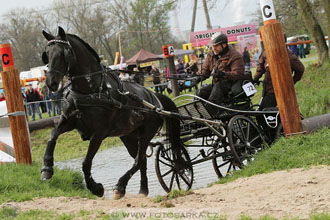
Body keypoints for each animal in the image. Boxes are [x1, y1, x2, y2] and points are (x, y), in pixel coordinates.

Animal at [40, 27, 183, 199]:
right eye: (47, 54)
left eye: (62, 53)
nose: (51, 83)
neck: (91, 90)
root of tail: (155, 98)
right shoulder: (68, 120)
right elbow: (52, 135)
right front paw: (47, 167)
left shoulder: (98, 134)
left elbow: (86, 163)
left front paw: (95, 188)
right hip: (128, 136)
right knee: (141, 160)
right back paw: (142, 190)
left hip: (146, 133)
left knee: (138, 160)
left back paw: (120, 186)